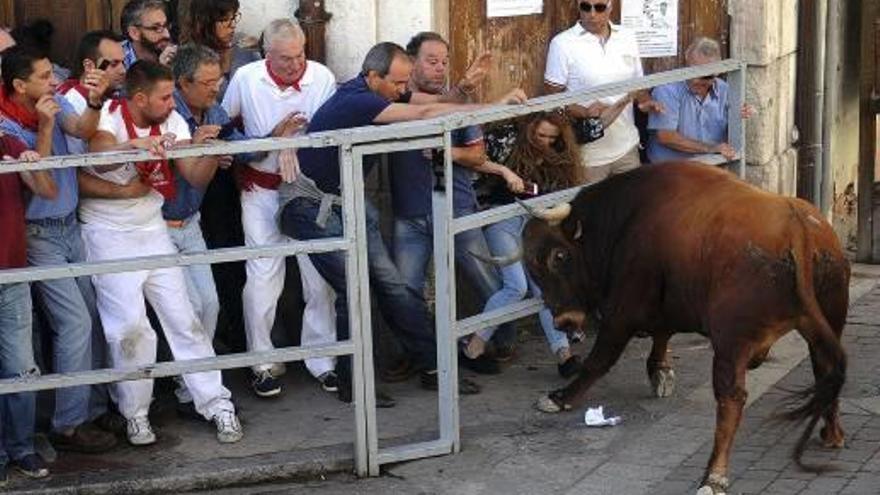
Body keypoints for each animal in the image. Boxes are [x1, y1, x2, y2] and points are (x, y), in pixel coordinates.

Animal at [520, 164, 848, 495]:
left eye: (559, 256)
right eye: (531, 268)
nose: (564, 322)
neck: (627, 217)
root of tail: (797, 227)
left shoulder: (621, 313)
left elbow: (598, 361)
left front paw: (560, 398)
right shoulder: (666, 304)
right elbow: (662, 334)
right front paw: (660, 370)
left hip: (730, 344)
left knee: (732, 399)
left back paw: (714, 476)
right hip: (826, 327)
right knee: (825, 372)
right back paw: (832, 432)